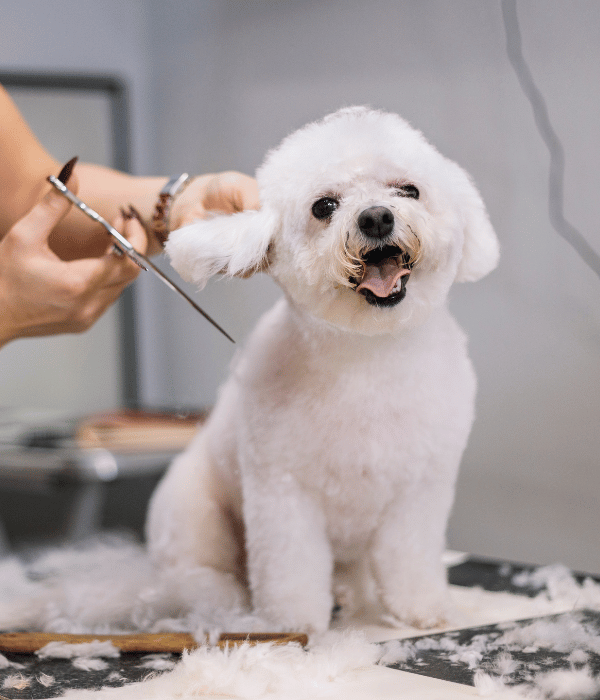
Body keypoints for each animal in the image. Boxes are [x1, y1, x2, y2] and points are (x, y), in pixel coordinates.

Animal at [148, 106, 500, 636]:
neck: (367, 358)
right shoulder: (283, 495)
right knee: (197, 572)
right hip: (193, 515)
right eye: (324, 206)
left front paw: (421, 607)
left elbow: (411, 557)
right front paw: (293, 624)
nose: (376, 216)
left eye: (409, 190)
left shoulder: (420, 490)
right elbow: (290, 570)